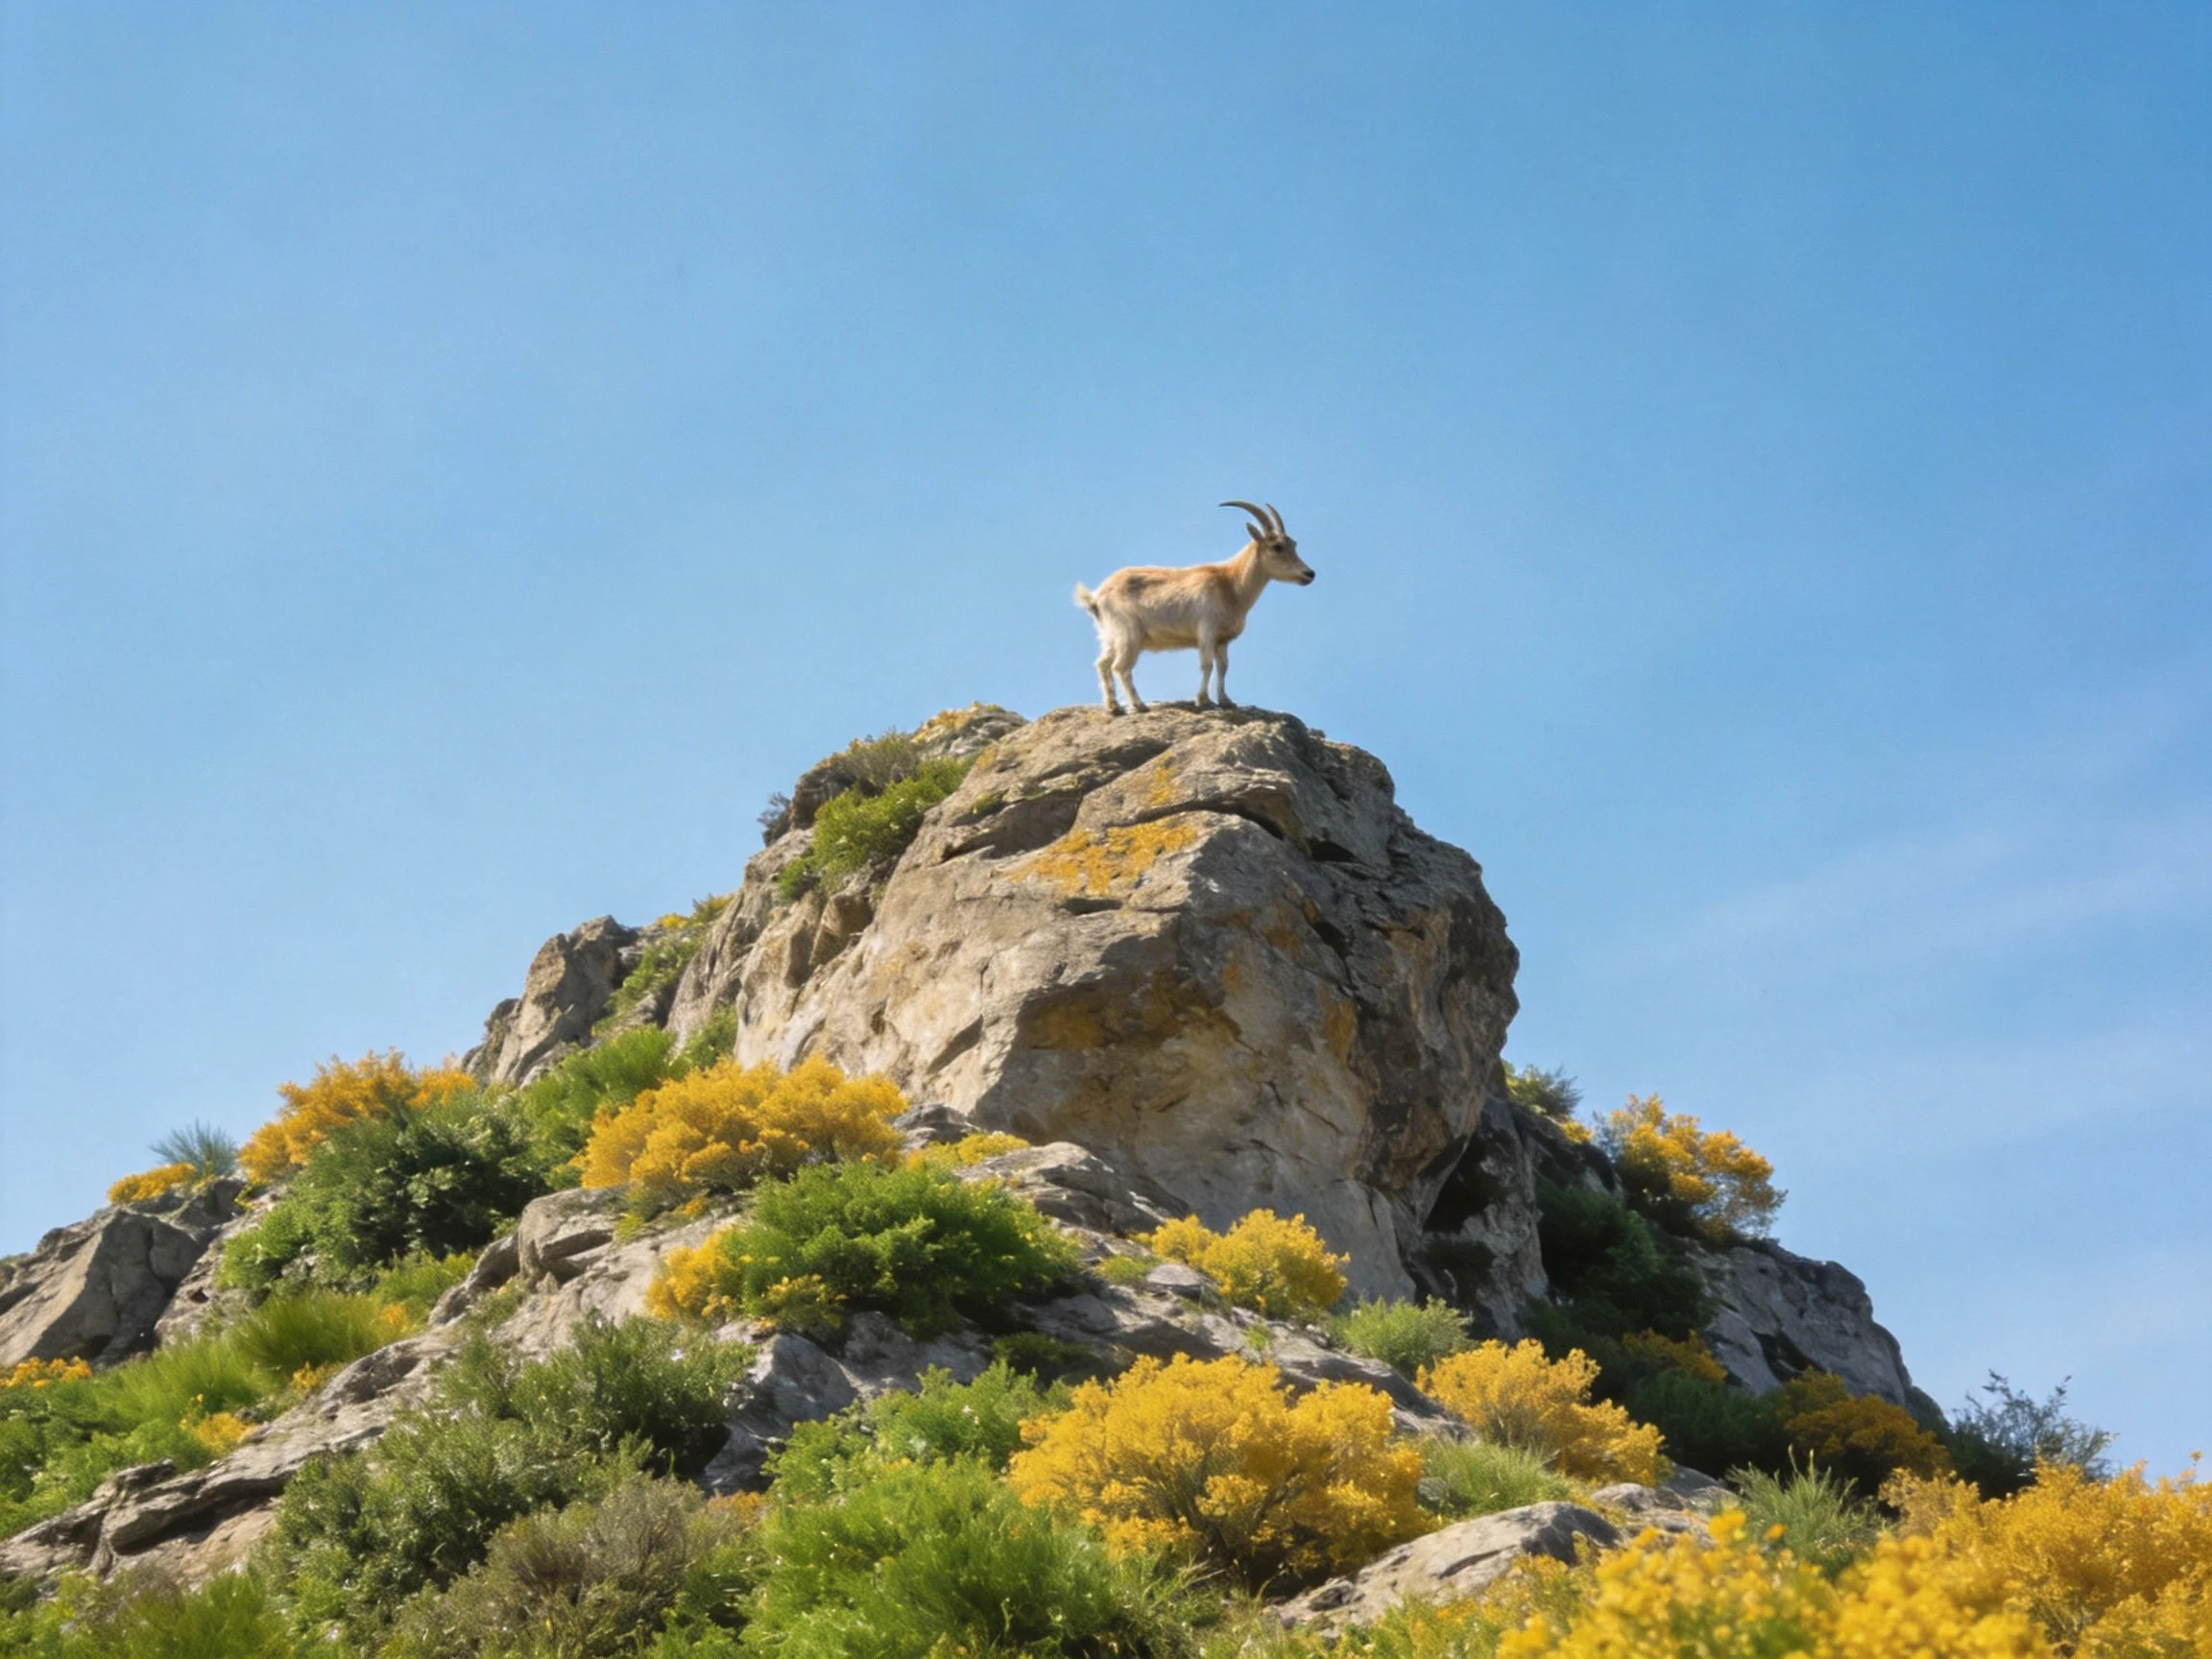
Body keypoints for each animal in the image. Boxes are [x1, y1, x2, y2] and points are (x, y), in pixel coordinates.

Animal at [1073, 501, 1315, 714]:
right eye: (1277, 546)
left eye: (1294, 544)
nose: (1309, 574)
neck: (1231, 583)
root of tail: (1095, 597)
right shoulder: (1206, 630)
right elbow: (1207, 664)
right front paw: (1202, 700)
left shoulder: (1222, 640)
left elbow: (1223, 667)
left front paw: (1226, 701)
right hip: (1129, 633)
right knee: (1121, 667)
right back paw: (1139, 705)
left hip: (1110, 636)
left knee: (1102, 664)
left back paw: (1114, 707)